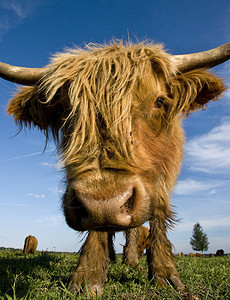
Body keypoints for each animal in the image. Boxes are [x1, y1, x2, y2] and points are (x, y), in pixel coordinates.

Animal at [0, 41, 230, 296]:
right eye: (62, 111)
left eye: (159, 101)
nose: (106, 204)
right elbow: (97, 227)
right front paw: (89, 275)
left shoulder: (163, 176)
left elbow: (158, 213)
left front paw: (164, 273)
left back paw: (131, 261)